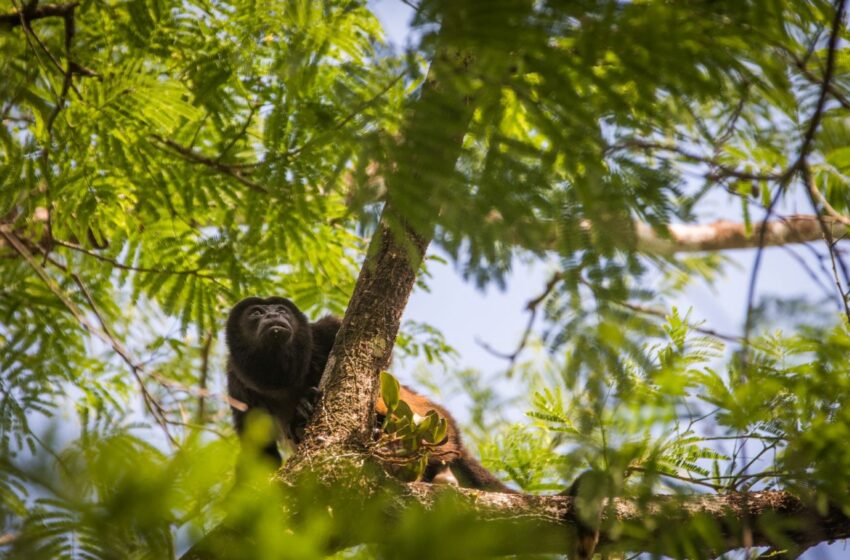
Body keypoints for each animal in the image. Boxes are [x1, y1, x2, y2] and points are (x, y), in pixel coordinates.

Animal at [224, 296, 510, 492]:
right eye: (256, 313)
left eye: (281, 310)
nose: (273, 314)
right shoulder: (236, 385)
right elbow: (258, 450)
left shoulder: (324, 331)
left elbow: (378, 363)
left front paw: (306, 404)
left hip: (438, 428)